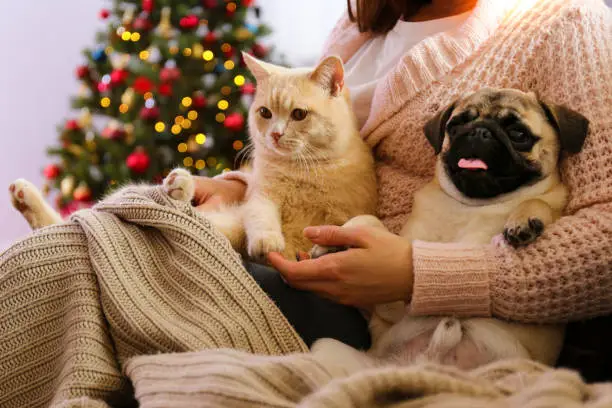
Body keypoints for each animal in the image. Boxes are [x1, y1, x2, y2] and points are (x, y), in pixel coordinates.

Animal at [9, 54, 378, 262]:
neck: (306, 171)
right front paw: (268, 241)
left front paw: (326, 248)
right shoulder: (261, 199)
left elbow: (363, 223)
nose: (274, 134)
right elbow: (262, 219)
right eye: (265, 113)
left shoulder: (354, 211)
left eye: (299, 115)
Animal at [310, 87, 588, 372]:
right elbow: (367, 220)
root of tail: (430, 362)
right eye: (455, 126)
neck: (472, 206)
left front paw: (525, 218)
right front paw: (330, 242)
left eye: (519, 134)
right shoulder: (390, 308)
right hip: (325, 347)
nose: (480, 131)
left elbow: (538, 202)